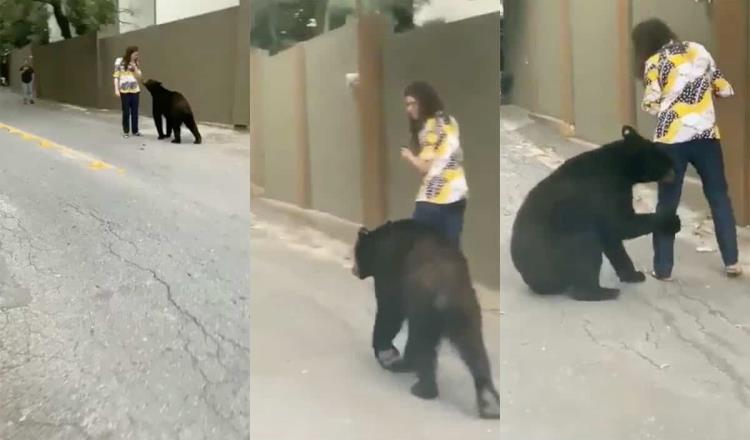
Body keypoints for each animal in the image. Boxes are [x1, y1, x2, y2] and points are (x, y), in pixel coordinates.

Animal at [352, 220, 500, 420]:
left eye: (356, 251)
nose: (354, 269)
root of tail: (449, 291)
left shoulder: (389, 270)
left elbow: (389, 310)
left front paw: (383, 350)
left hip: (424, 307)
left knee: (423, 344)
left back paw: (422, 387)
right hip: (467, 313)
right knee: (473, 347)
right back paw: (489, 401)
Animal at [512, 125, 680, 300]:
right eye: (666, 161)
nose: (675, 172)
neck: (621, 165)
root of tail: (535, 282)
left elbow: (612, 238)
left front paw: (633, 275)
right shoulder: (608, 188)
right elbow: (621, 224)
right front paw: (672, 221)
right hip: (558, 251)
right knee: (586, 246)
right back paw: (600, 291)